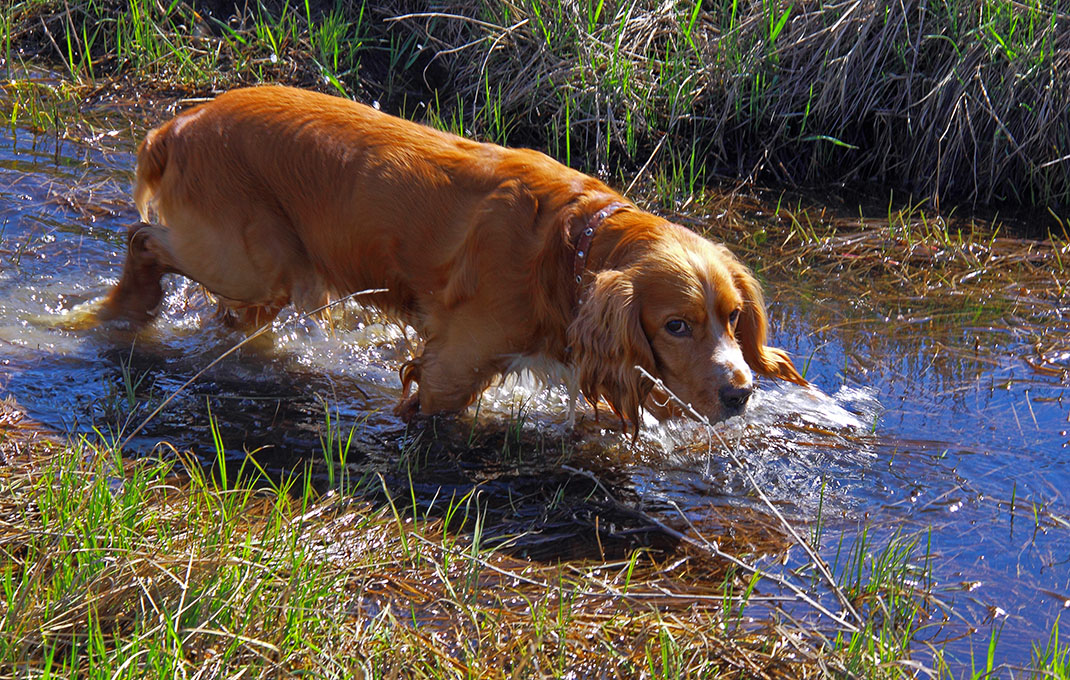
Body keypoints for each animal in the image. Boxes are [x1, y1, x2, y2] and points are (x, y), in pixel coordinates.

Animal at [100, 86, 804, 429]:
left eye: (733, 317)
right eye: (676, 325)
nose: (741, 394)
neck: (573, 246)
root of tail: (180, 125)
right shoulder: (450, 366)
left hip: (264, 279)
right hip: (253, 262)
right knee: (142, 240)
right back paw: (122, 313)